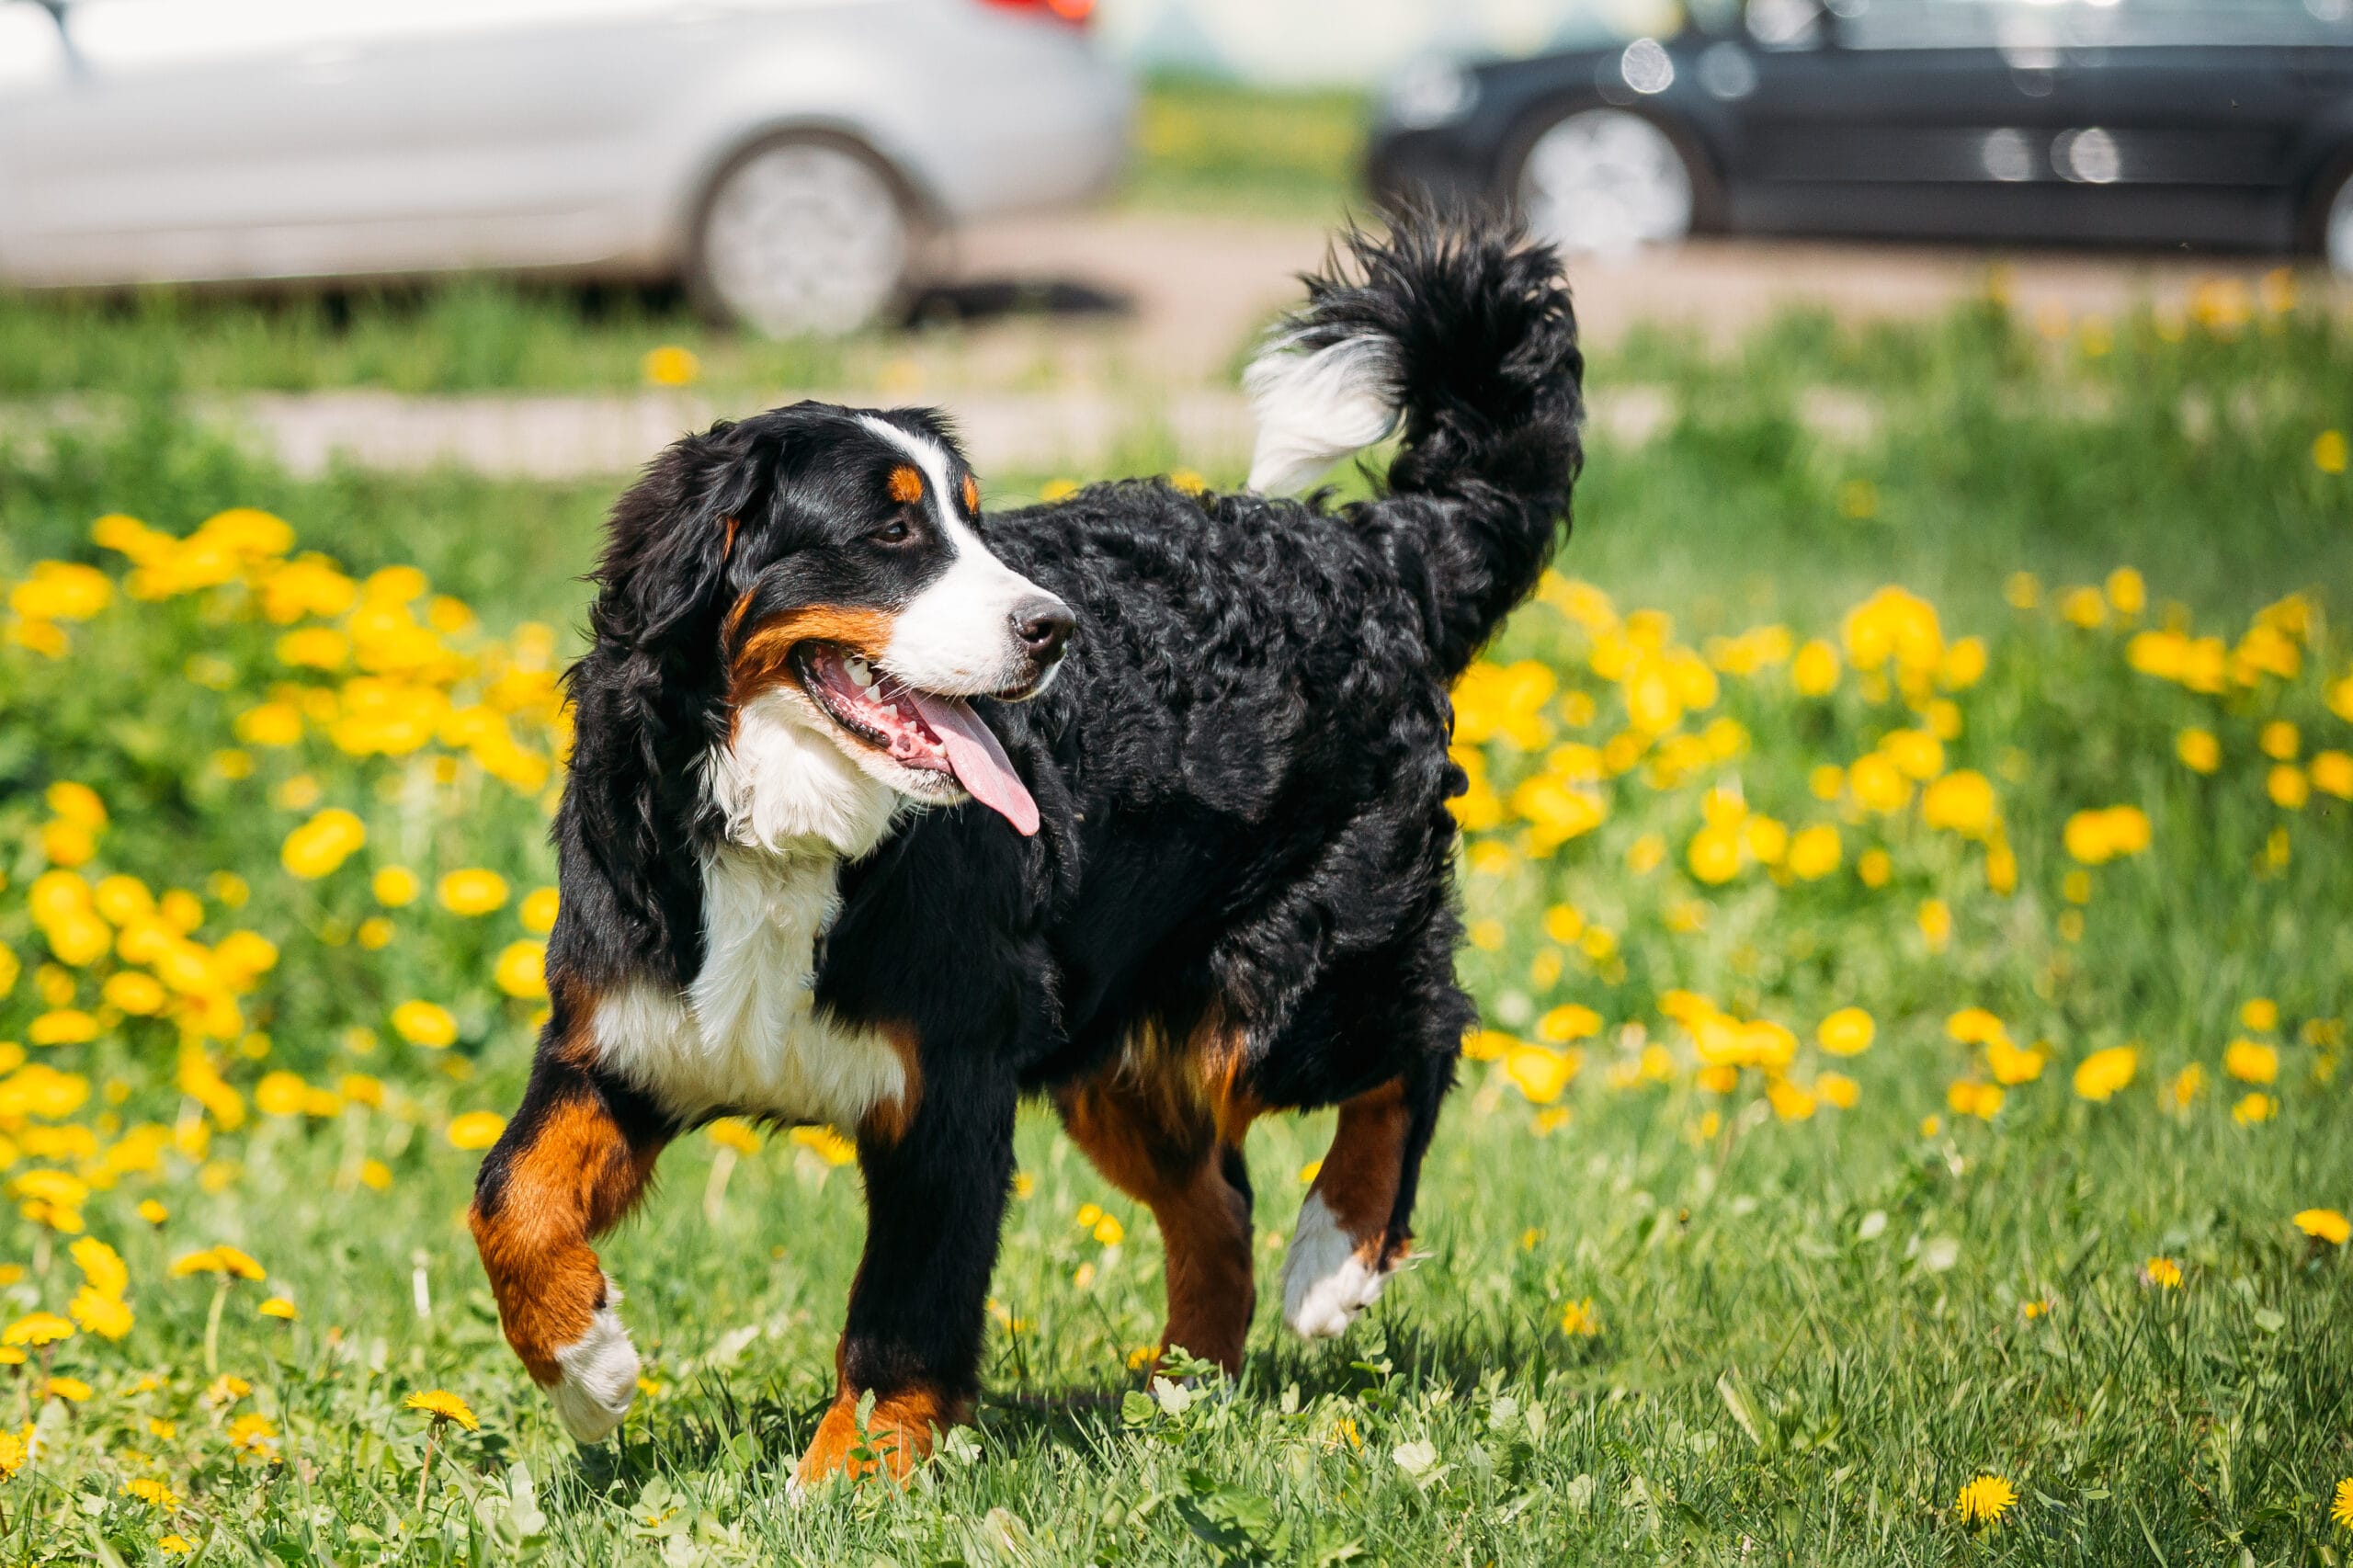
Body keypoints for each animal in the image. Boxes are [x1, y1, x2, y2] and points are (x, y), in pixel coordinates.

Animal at [471, 210, 1590, 1478]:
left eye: (972, 519)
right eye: (893, 528)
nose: (1052, 626)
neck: (790, 830)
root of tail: (1369, 552)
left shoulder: (948, 1084)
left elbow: (904, 1312)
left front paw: (849, 1475)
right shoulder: (625, 1038)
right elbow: (509, 1195)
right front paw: (588, 1368)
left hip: (1282, 982)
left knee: (1421, 1035)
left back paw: (1333, 1255)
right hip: (1112, 1039)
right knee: (1218, 1202)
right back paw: (1180, 1395)